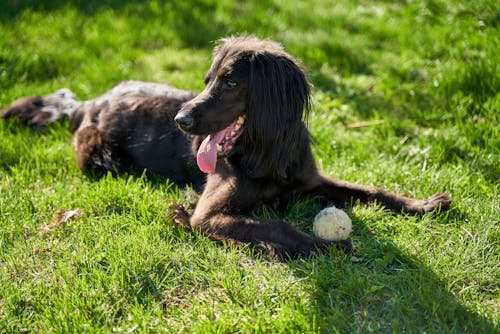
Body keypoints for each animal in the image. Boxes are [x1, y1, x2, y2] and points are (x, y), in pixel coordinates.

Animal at [0, 35, 454, 258]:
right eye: (206, 80)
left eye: (231, 81)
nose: (181, 121)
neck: (264, 154)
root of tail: (86, 104)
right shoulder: (209, 215)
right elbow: (276, 226)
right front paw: (327, 244)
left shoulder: (310, 181)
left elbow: (371, 190)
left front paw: (422, 204)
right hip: (101, 157)